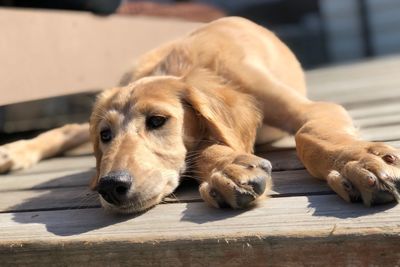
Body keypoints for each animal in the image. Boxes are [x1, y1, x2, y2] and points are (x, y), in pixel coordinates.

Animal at [0, 16, 400, 214]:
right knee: (70, 126)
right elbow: (204, 149)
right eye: (105, 135)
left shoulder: (312, 109)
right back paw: (14, 151)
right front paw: (229, 170)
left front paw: (360, 162)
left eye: (158, 121)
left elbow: (309, 134)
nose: (110, 185)